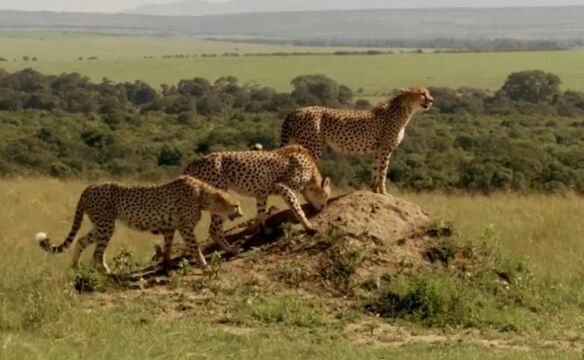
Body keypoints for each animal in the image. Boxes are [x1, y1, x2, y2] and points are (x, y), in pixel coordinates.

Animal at [36, 175, 242, 272]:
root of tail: (90, 186)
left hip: (99, 225)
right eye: (235, 205)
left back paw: (75, 266)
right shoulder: (185, 228)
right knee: (96, 253)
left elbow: (167, 247)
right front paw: (205, 266)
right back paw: (107, 272)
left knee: (80, 241)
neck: (202, 194)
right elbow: (195, 247)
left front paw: (166, 265)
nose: (240, 213)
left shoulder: (170, 227)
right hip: (106, 225)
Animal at [184, 143, 334, 250]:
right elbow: (297, 209)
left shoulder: (261, 194)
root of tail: (193, 163)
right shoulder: (283, 186)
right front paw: (309, 226)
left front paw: (265, 231)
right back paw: (231, 249)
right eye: (326, 196)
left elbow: (261, 213)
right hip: (219, 198)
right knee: (214, 229)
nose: (323, 207)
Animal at [282, 87, 434, 195]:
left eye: (428, 93)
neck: (404, 109)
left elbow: (376, 169)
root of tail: (295, 111)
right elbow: (383, 171)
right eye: (422, 94)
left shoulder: (378, 149)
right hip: (312, 147)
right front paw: (384, 192)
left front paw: (375, 191)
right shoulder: (385, 148)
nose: (431, 100)